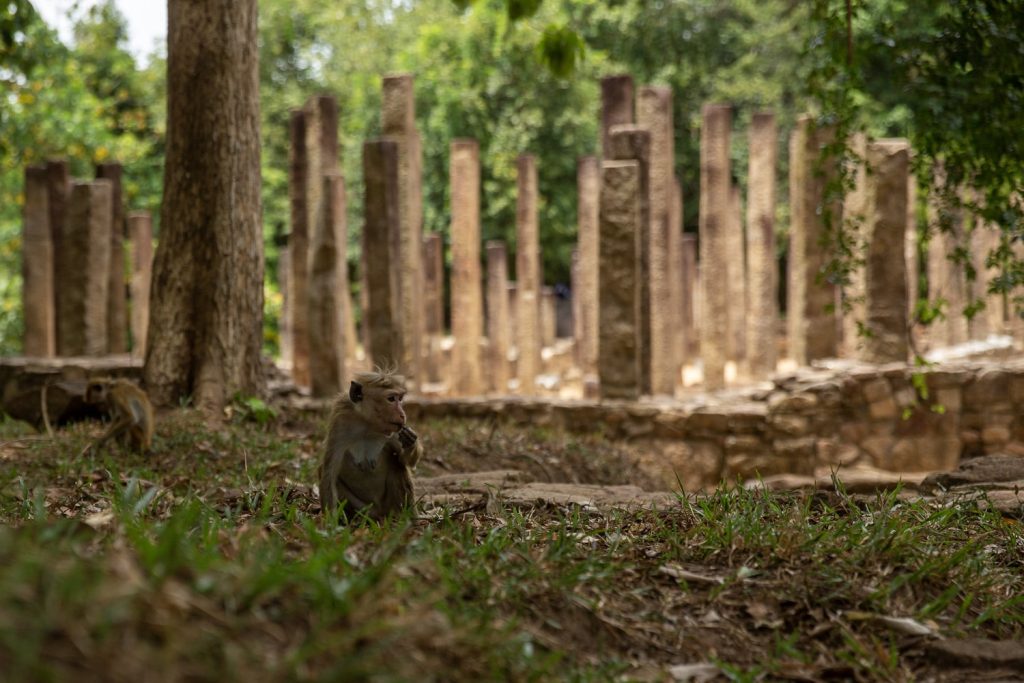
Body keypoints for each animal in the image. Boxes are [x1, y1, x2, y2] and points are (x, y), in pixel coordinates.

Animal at [318, 368, 422, 522]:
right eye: (391, 399)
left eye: (400, 398)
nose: (403, 415)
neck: (367, 424)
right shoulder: (340, 422)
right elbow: (329, 474)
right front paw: (331, 522)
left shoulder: (394, 431)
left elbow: (406, 461)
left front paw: (410, 441)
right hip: (365, 510)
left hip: (389, 506)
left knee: (397, 466)